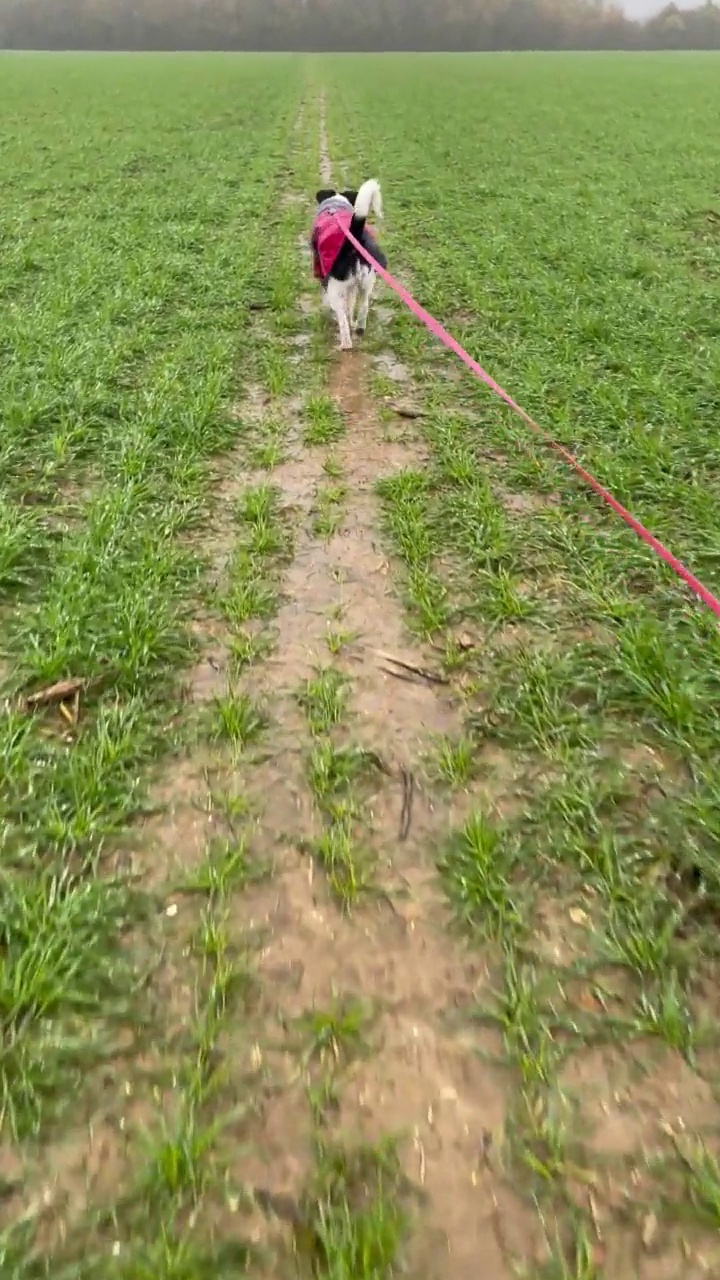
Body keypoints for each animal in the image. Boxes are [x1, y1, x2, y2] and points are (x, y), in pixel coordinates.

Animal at [310, 179, 386, 350]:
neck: (336, 206)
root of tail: (354, 240)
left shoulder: (323, 274)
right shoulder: (351, 286)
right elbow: (350, 305)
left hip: (336, 288)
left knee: (342, 320)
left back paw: (345, 344)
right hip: (366, 284)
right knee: (363, 307)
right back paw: (359, 328)